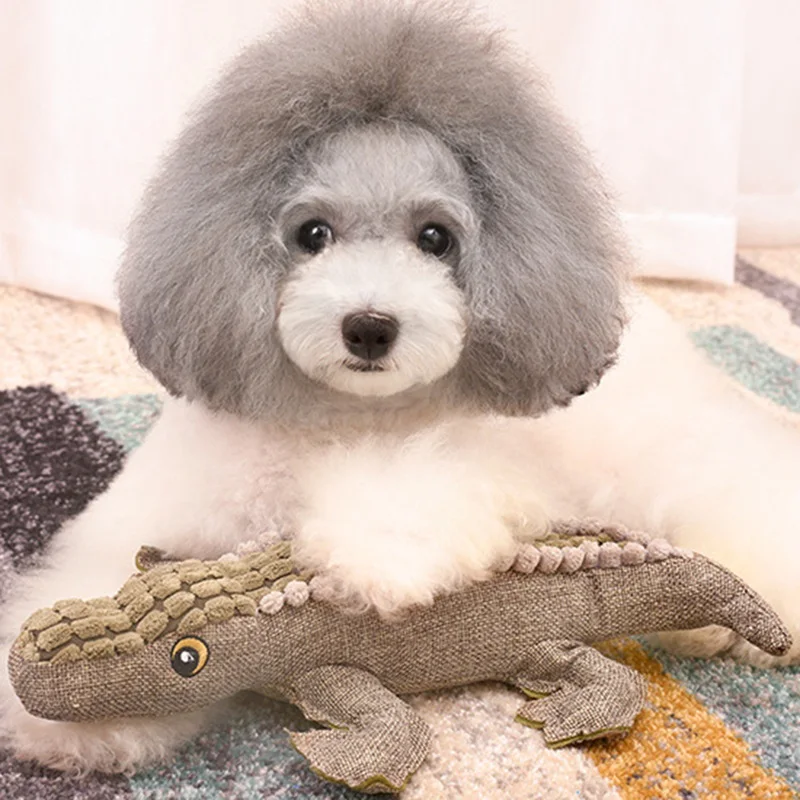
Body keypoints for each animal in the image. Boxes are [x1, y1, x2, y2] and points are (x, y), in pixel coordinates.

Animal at [1, 0, 797, 775]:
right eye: (312, 234)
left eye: (436, 238)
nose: (369, 327)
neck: (343, 420)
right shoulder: (163, 513)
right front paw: (79, 711)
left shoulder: (491, 473)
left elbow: (412, 496)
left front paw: (376, 560)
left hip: (669, 457)